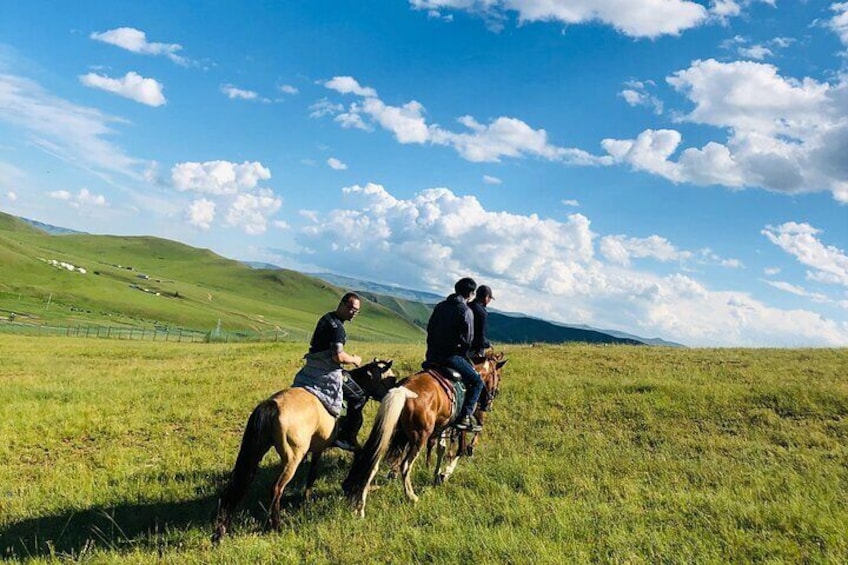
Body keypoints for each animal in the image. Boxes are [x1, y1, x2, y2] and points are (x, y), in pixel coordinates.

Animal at [212, 360, 398, 540]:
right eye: (391, 380)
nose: (391, 396)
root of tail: (272, 405)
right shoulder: (350, 441)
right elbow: (361, 457)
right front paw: (350, 484)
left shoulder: (318, 448)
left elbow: (312, 474)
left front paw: (306, 499)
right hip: (293, 459)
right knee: (276, 488)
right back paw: (277, 525)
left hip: (258, 451)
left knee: (240, 483)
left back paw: (222, 528)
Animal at [342, 350, 506, 516]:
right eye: (498, 376)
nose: (491, 399)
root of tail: (403, 391)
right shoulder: (459, 427)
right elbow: (460, 450)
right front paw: (444, 474)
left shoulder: (442, 426)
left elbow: (441, 449)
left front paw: (436, 474)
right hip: (419, 437)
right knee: (405, 466)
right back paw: (411, 496)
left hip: (389, 431)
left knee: (373, 462)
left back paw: (360, 507)